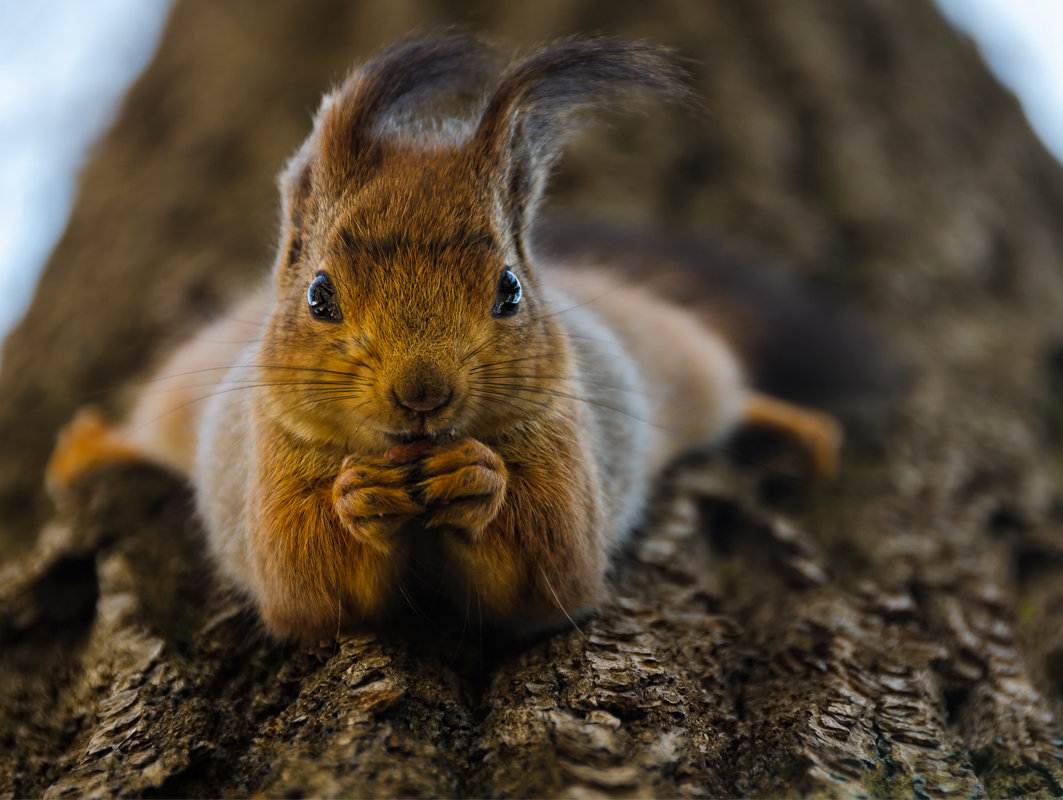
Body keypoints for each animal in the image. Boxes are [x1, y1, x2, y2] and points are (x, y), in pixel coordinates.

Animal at [45, 34, 846, 641]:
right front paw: (358, 494)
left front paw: (477, 476)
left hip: (678, 356)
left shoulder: (564, 454)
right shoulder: (270, 469)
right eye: (318, 294)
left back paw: (799, 424)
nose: (422, 395)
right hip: (183, 392)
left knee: (730, 392)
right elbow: (306, 590)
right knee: (146, 430)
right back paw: (90, 446)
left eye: (510, 289)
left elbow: (551, 573)